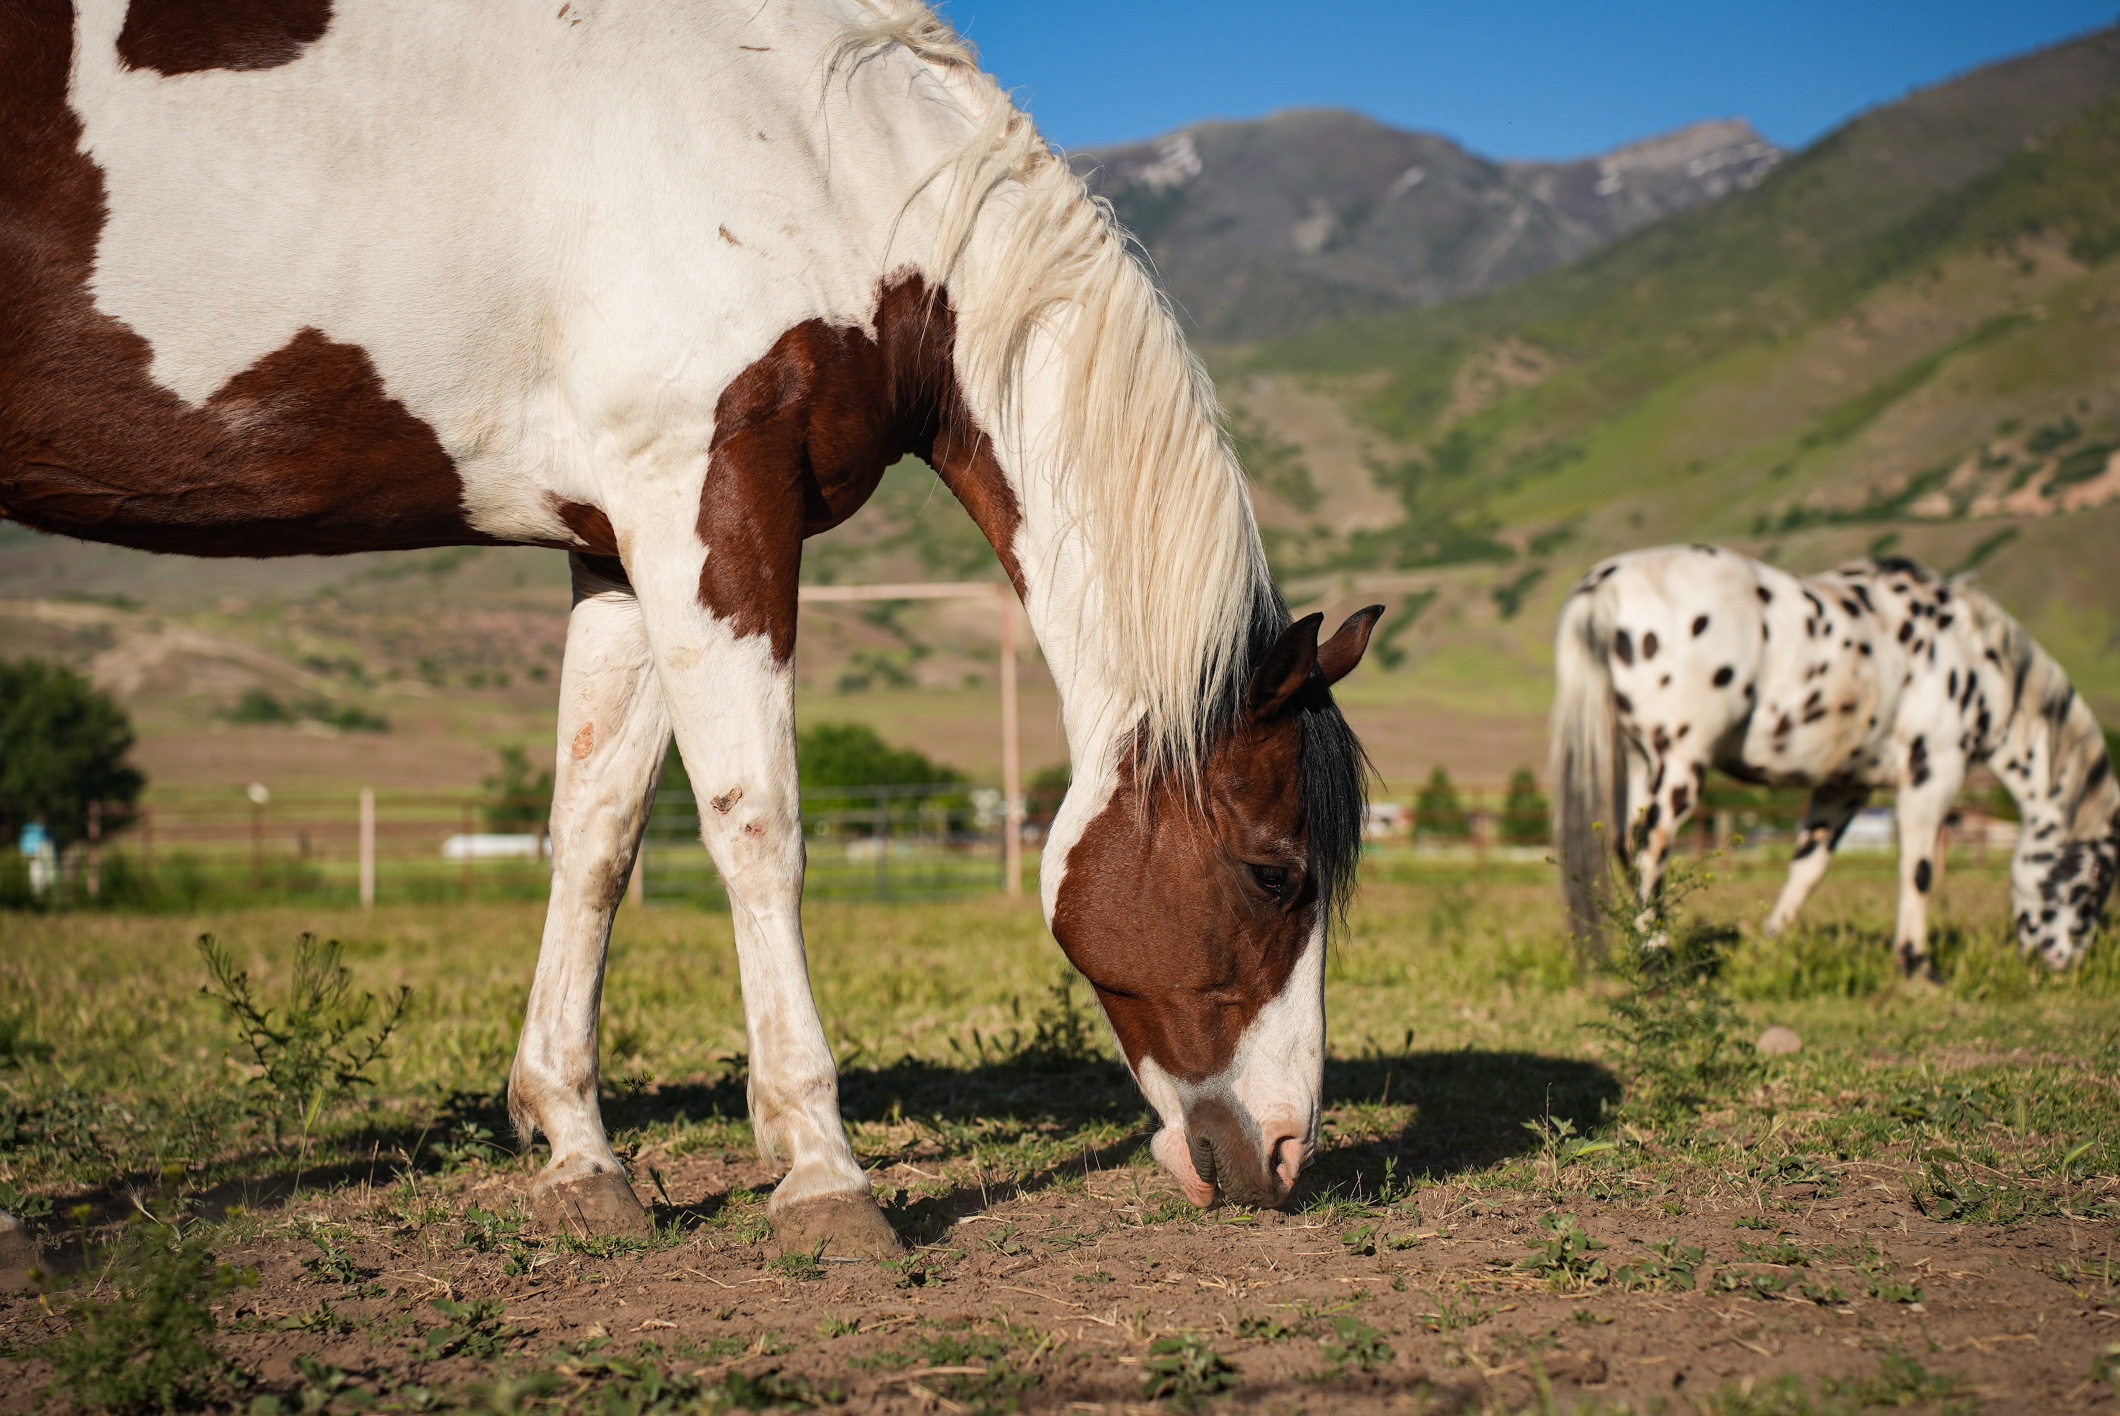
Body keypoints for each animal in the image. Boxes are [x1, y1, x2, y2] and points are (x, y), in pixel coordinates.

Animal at [1, 0, 1383, 1251]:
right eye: (1275, 872)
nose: (1280, 1157)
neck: (808, 148)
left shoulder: (617, 543)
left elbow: (597, 833)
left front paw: (577, 1155)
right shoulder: (703, 501)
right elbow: (756, 824)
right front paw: (824, 1176)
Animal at [1550, 545, 2118, 975]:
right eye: (2094, 881)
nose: (2062, 965)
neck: (1976, 658)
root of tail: (1606, 584)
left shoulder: (1846, 784)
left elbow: (1809, 866)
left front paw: (1772, 943)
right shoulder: (1932, 773)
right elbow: (1919, 869)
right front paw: (1916, 964)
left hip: (1642, 757)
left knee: (1627, 844)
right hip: (1681, 761)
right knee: (1652, 845)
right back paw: (1656, 956)